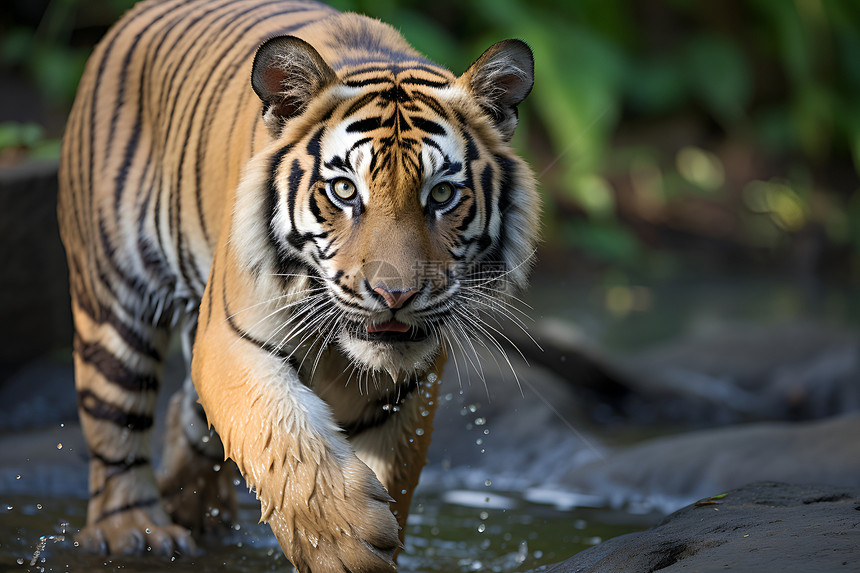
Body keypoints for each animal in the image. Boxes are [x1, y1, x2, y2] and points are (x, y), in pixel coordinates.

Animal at [57, 1, 536, 568]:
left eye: (441, 194)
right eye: (345, 190)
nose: (395, 296)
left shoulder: (407, 386)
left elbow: (390, 472)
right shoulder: (231, 338)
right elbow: (280, 434)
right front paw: (344, 544)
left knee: (189, 414)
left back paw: (198, 512)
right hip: (116, 300)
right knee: (116, 425)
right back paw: (136, 531)